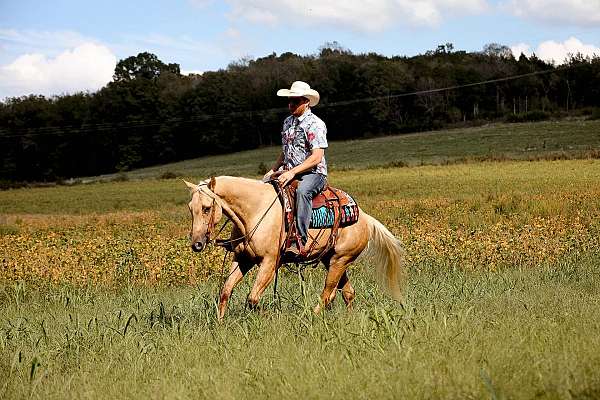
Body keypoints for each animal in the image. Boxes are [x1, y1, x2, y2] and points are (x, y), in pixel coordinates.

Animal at [185, 177, 406, 320]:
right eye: (190, 208)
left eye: (206, 208)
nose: (197, 244)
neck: (255, 211)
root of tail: (365, 218)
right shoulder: (242, 259)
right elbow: (225, 291)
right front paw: (220, 323)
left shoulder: (269, 262)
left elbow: (253, 298)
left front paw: (269, 317)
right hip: (332, 260)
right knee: (347, 293)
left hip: (340, 260)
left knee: (328, 293)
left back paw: (310, 317)